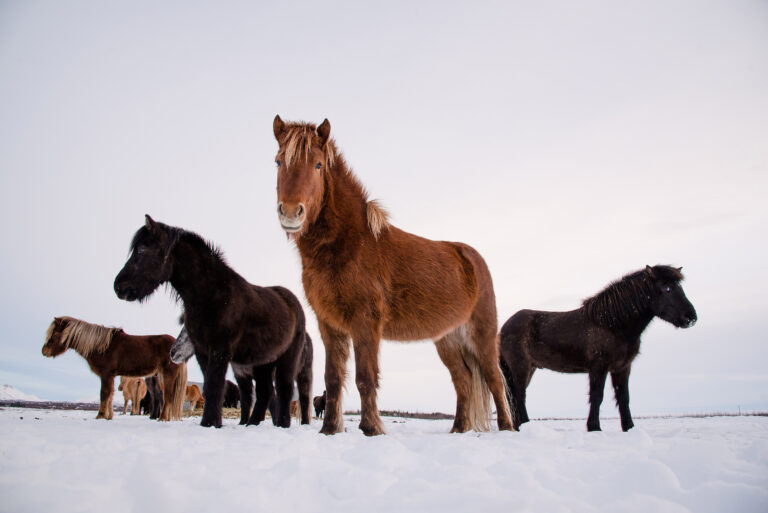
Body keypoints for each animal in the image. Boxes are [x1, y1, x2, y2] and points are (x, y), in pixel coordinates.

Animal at [42, 317, 187, 421]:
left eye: (54, 334)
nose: (44, 351)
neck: (101, 346)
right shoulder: (111, 375)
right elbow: (110, 395)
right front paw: (109, 416)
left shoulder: (106, 374)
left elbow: (104, 393)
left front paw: (100, 415)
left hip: (168, 374)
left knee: (168, 396)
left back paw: (162, 418)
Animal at [115, 215, 311, 429]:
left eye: (142, 250)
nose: (118, 287)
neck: (214, 295)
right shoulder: (202, 351)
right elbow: (210, 388)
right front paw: (213, 422)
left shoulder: (220, 350)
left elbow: (214, 385)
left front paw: (209, 423)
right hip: (263, 362)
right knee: (265, 391)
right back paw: (252, 423)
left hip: (287, 358)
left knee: (284, 389)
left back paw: (282, 424)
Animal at [273, 116, 513, 435]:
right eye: (278, 162)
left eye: (318, 165)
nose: (290, 213)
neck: (349, 244)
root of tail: (473, 259)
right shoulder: (329, 325)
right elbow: (333, 378)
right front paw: (330, 430)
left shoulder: (365, 322)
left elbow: (365, 377)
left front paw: (371, 429)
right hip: (447, 339)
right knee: (462, 380)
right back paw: (458, 430)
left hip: (482, 334)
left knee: (493, 378)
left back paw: (507, 428)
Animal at [499, 265, 698, 432]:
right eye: (667, 288)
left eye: (680, 288)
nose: (691, 317)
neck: (612, 325)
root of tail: (503, 328)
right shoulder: (598, 367)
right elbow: (597, 396)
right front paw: (594, 427)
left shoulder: (622, 368)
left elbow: (624, 397)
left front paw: (629, 427)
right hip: (521, 367)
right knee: (518, 395)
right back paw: (524, 425)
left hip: (528, 368)